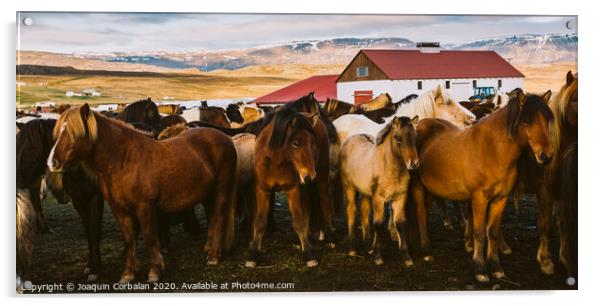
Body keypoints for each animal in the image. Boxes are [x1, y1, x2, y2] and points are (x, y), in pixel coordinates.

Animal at [47, 104, 239, 282]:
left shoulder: (145, 207)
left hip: (221, 190)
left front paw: (155, 271)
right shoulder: (120, 210)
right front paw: (128, 274)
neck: (125, 160)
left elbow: (149, 237)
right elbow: (129, 239)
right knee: (212, 217)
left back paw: (213, 256)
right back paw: (209, 249)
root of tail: (225, 138)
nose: (52, 162)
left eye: (75, 133)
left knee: (219, 217)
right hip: (207, 194)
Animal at [408, 90, 552, 282]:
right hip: (418, 186)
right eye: (526, 121)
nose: (546, 156)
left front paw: (496, 267)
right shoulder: (479, 199)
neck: (493, 150)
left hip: (430, 188)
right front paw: (480, 269)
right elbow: (480, 234)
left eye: (548, 120)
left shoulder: (501, 199)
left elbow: (493, 233)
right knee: (421, 213)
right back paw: (426, 250)